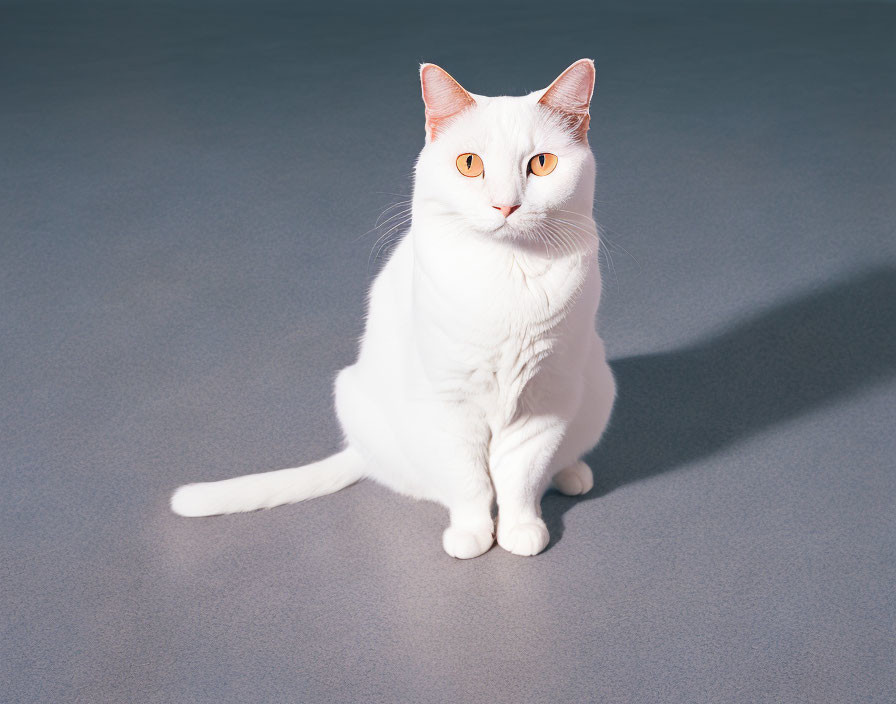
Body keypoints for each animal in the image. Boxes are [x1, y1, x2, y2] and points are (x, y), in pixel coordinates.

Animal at [169, 57, 616, 560]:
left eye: (541, 164)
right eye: (470, 164)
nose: (505, 205)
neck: (507, 272)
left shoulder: (545, 401)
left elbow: (520, 477)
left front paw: (521, 528)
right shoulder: (449, 403)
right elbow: (471, 482)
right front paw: (473, 533)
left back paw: (573, 474)